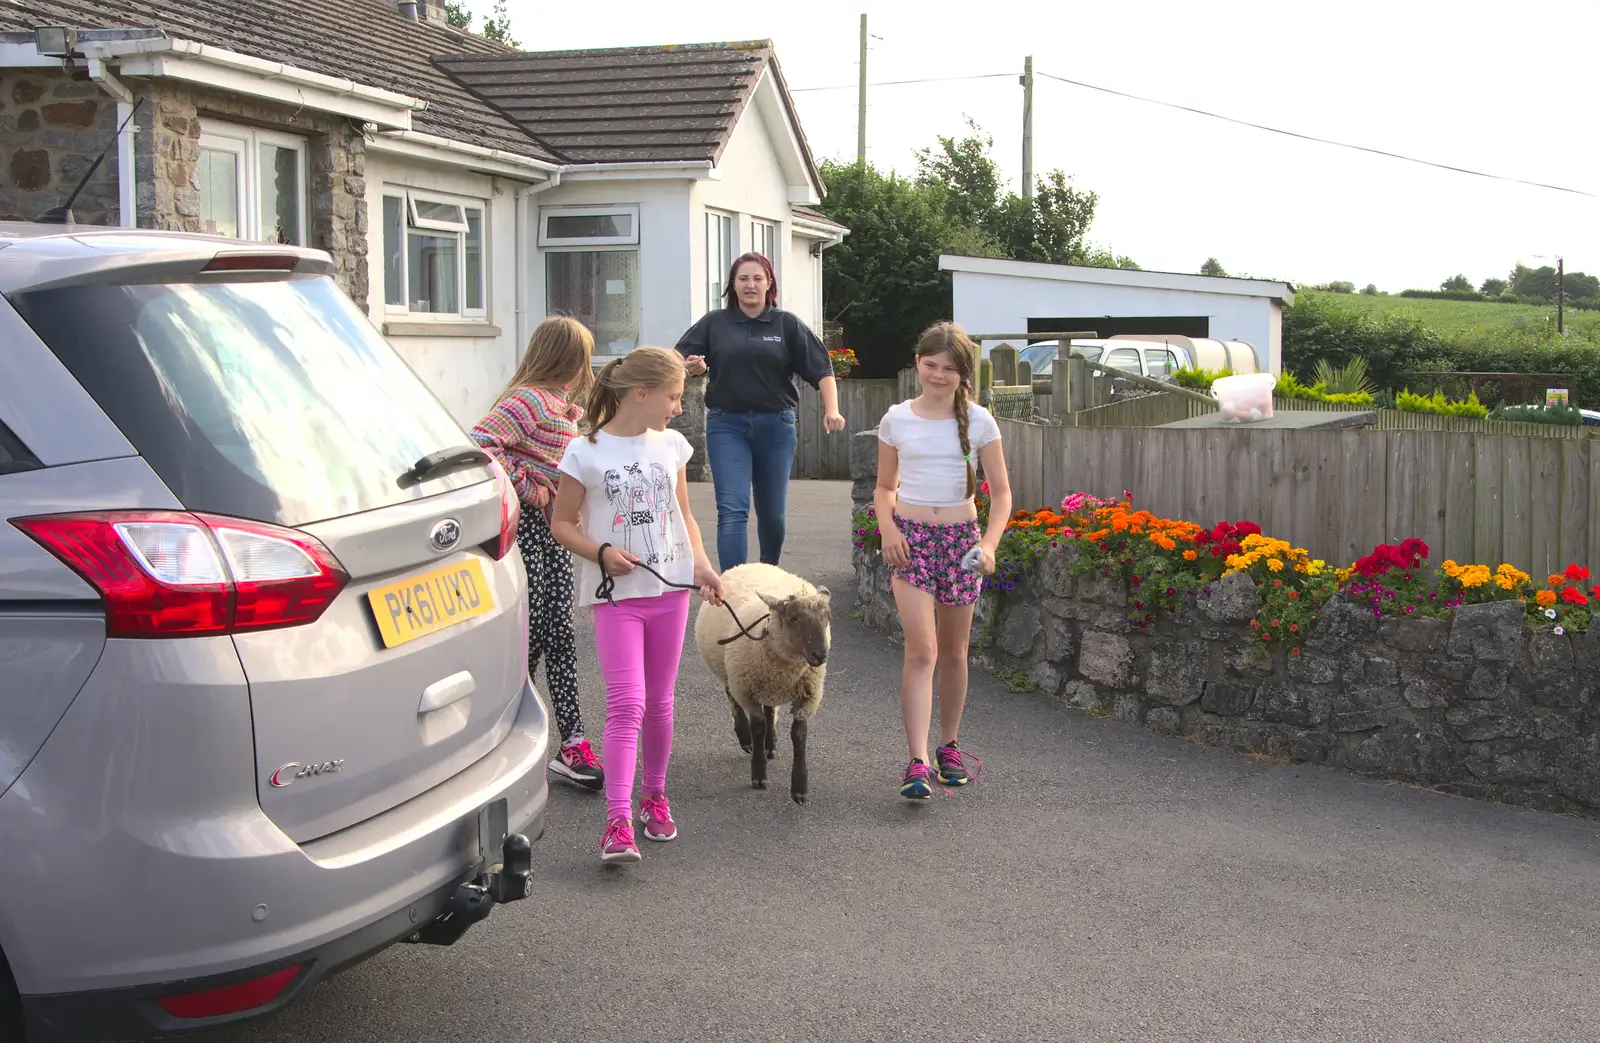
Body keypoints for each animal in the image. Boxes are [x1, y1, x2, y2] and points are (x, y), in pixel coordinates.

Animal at [694, 566, 832, 803]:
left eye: (827, 617)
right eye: (793, 618)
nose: (820, 655)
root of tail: (747, 565)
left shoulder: (808, 695)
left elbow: (799, 735)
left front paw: (800, 787)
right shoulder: (746, 690)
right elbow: (758, 727)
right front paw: (759, 775)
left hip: (766, 684)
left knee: (770, 708)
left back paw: (771, 743)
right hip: (728, 671)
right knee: (733, 699)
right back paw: (746, 738)